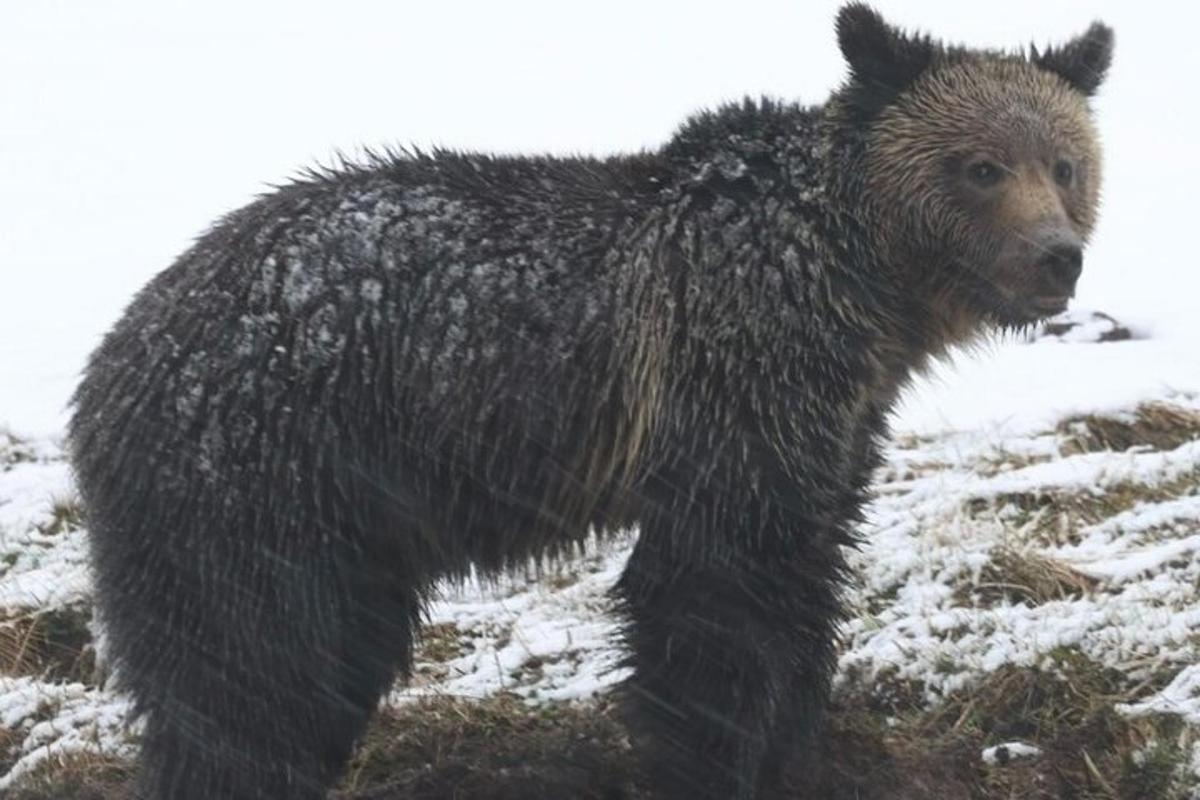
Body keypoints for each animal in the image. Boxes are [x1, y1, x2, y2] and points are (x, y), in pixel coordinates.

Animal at [70, 6, 1108, 800]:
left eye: (1063, 163)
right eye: (980, 166)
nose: (1057, 258)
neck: (860, 288)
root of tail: (111, 360)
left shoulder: (836, 424)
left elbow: (803, 580)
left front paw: (798, 744)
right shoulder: (731, 380)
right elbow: (707, 602)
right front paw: (713, 759)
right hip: (266, 477)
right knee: (254, 677)